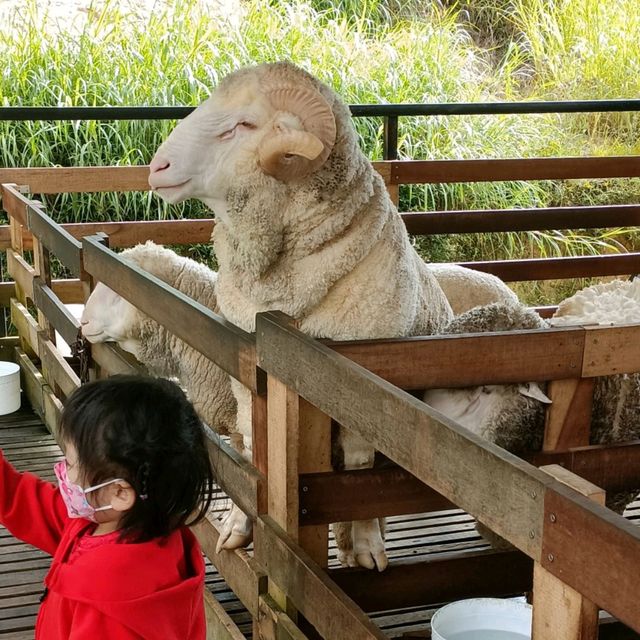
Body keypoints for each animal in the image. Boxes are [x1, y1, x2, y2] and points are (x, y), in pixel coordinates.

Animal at [150, 60, 458, 568]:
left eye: (244, 125)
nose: (157, 168)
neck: (277, 298)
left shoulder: (360, 389)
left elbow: (360, 468)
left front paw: (366, 545)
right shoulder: (243, 374)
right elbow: (252, 450)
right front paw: (239, 527)